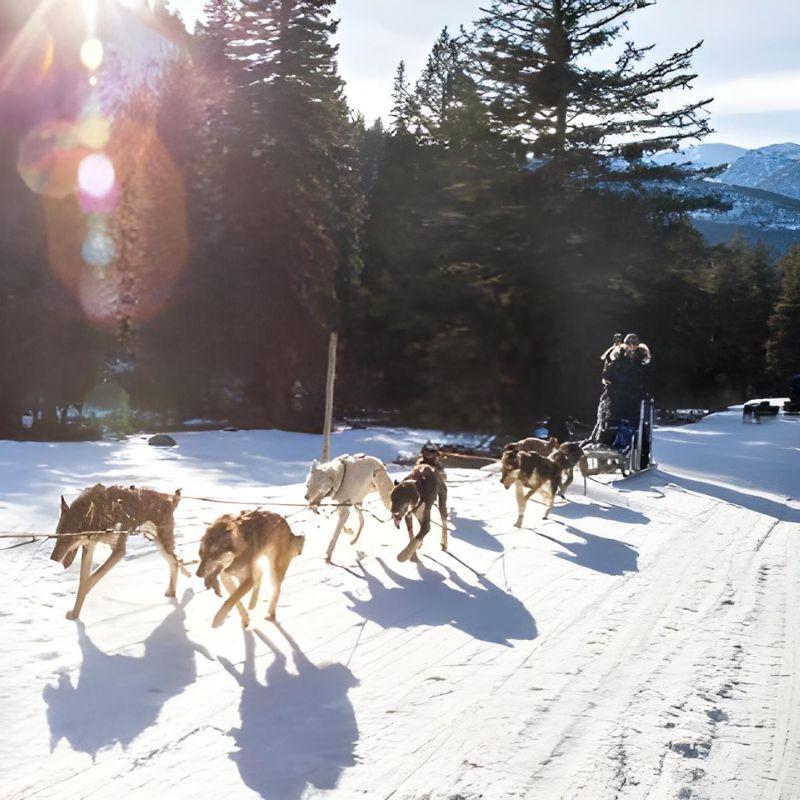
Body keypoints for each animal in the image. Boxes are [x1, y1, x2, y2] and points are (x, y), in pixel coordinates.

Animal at [50, 484, 187, 620]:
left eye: (67, 538)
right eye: (57, 536)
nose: (52, 559)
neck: (98, 512)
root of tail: (170, 499)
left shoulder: (118, 551)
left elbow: (86, 582)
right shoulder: (89, 547)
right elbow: (83, 581)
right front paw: (75, 615)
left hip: (161, 544)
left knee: (176, 561)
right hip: (158, 544)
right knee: (176, 561)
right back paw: (173, 591)